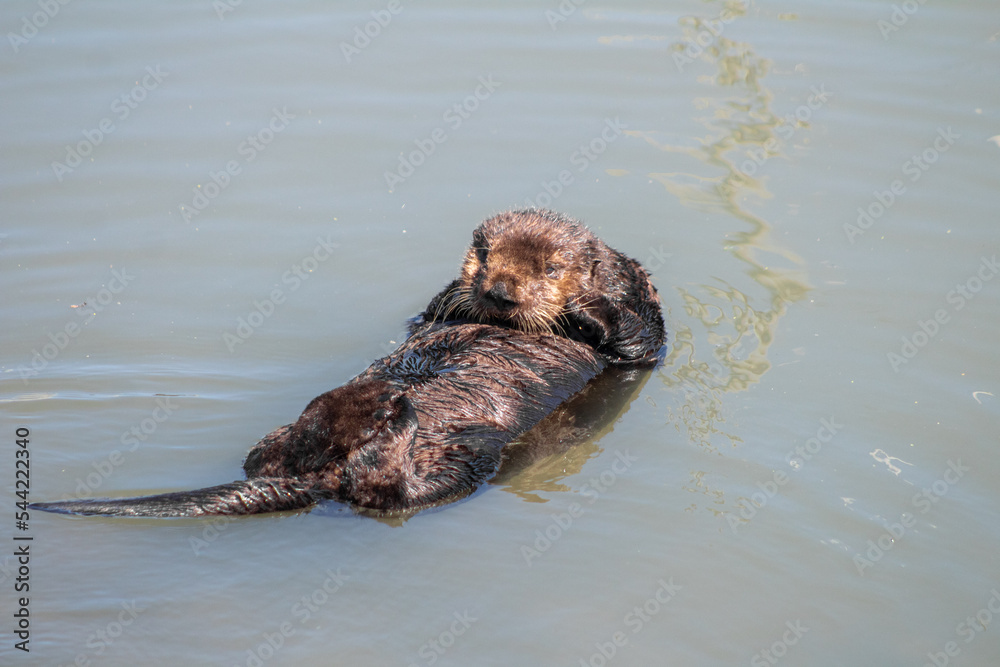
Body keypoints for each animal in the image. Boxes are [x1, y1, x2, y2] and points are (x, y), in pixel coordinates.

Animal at [412, 208, 665, 365]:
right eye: (484, 256)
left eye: (551, 269)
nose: (500, 293)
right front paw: (453, 294)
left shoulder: (641, 302)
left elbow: (642, 342)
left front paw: (585, 302)